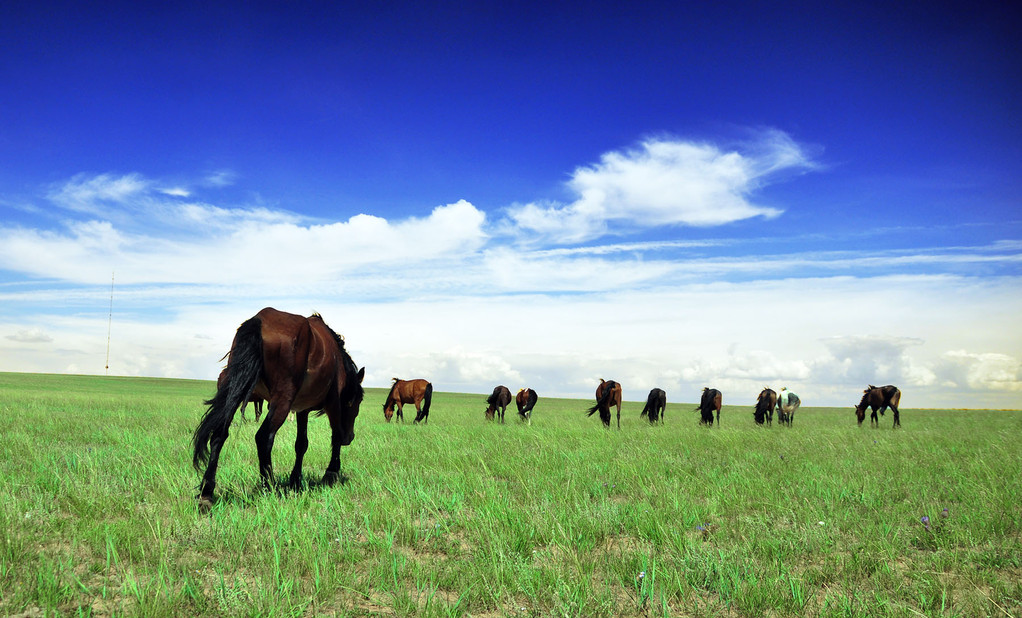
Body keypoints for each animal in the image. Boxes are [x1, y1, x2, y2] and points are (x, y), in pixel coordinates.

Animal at [193, 306, 365, 510]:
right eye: (357, 402)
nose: (350, 437)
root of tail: (258, 320)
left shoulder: (302, 409)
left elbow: (301, 444)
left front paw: (296, 481)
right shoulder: (333, 403)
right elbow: (335, 436)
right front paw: (331, 474)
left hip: (236, 389)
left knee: (219, 435)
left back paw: (207, 492)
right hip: (282, 399)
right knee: (263, 437)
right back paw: (269, 486)